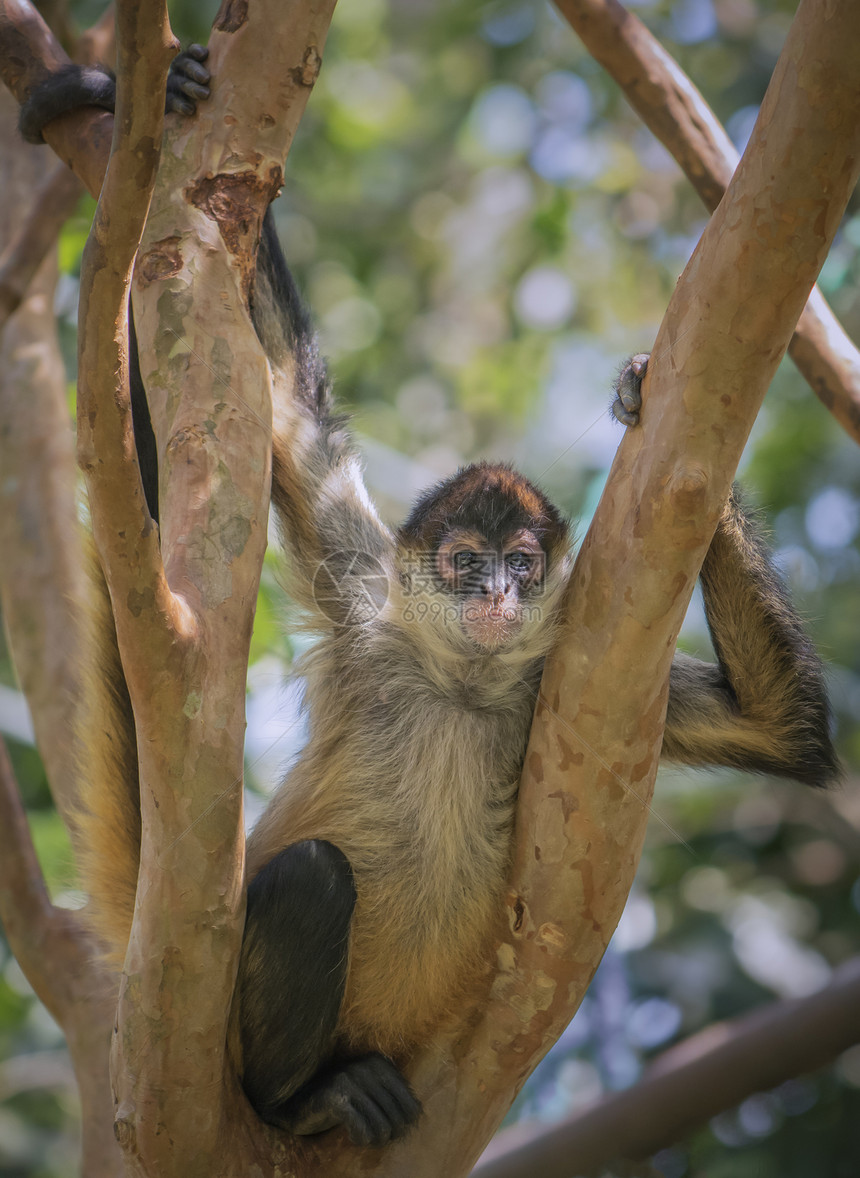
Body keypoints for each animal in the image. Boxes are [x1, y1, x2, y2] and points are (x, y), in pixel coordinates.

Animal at [20, 50, 838, 1145]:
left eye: (523, 565)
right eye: (463, 561)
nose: (495, 590)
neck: (462, 679)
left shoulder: (567, 669)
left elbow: (781, 728)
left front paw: (643, 396)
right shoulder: (367, 599)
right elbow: (289, 412)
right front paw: (152, 79)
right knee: (314, 876)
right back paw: (299, 1098)